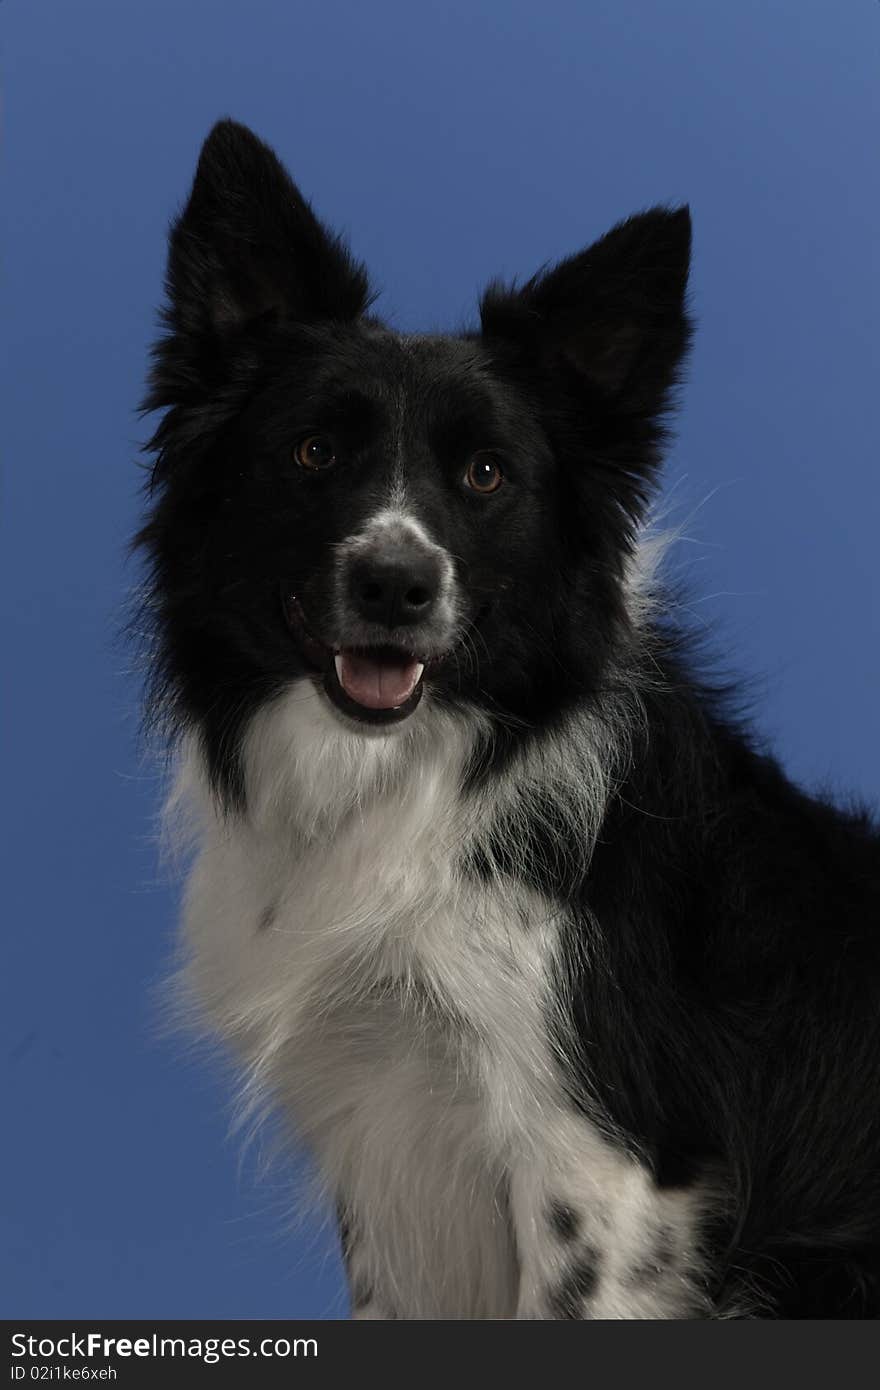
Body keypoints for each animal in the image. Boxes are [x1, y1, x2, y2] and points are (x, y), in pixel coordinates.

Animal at [135, 116, 878, 1312]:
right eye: (313, 452)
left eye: (486, 474)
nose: (396, 584)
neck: (421, 775)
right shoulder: (384, 1145)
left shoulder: (599, 1173)